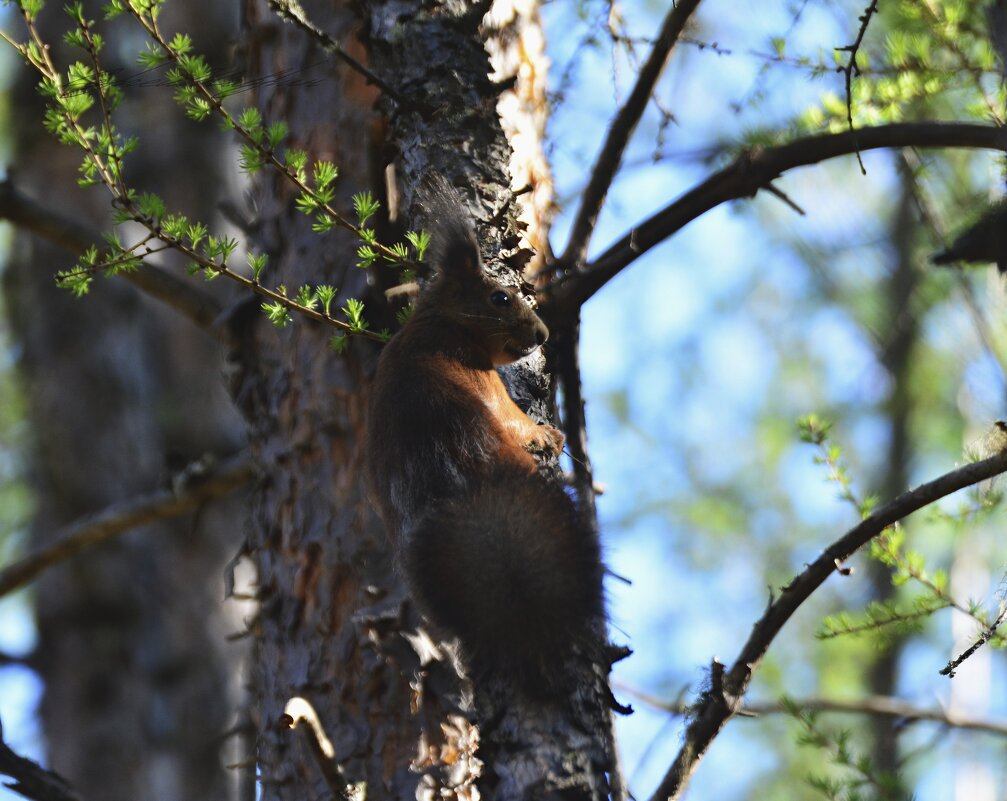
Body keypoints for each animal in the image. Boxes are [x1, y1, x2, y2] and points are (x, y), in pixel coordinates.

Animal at [370, 189, 604, 697]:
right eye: (501, 297)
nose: (543, 334)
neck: (439, 321)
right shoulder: (482, 377)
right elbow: (515, 418)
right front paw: (548, 436)